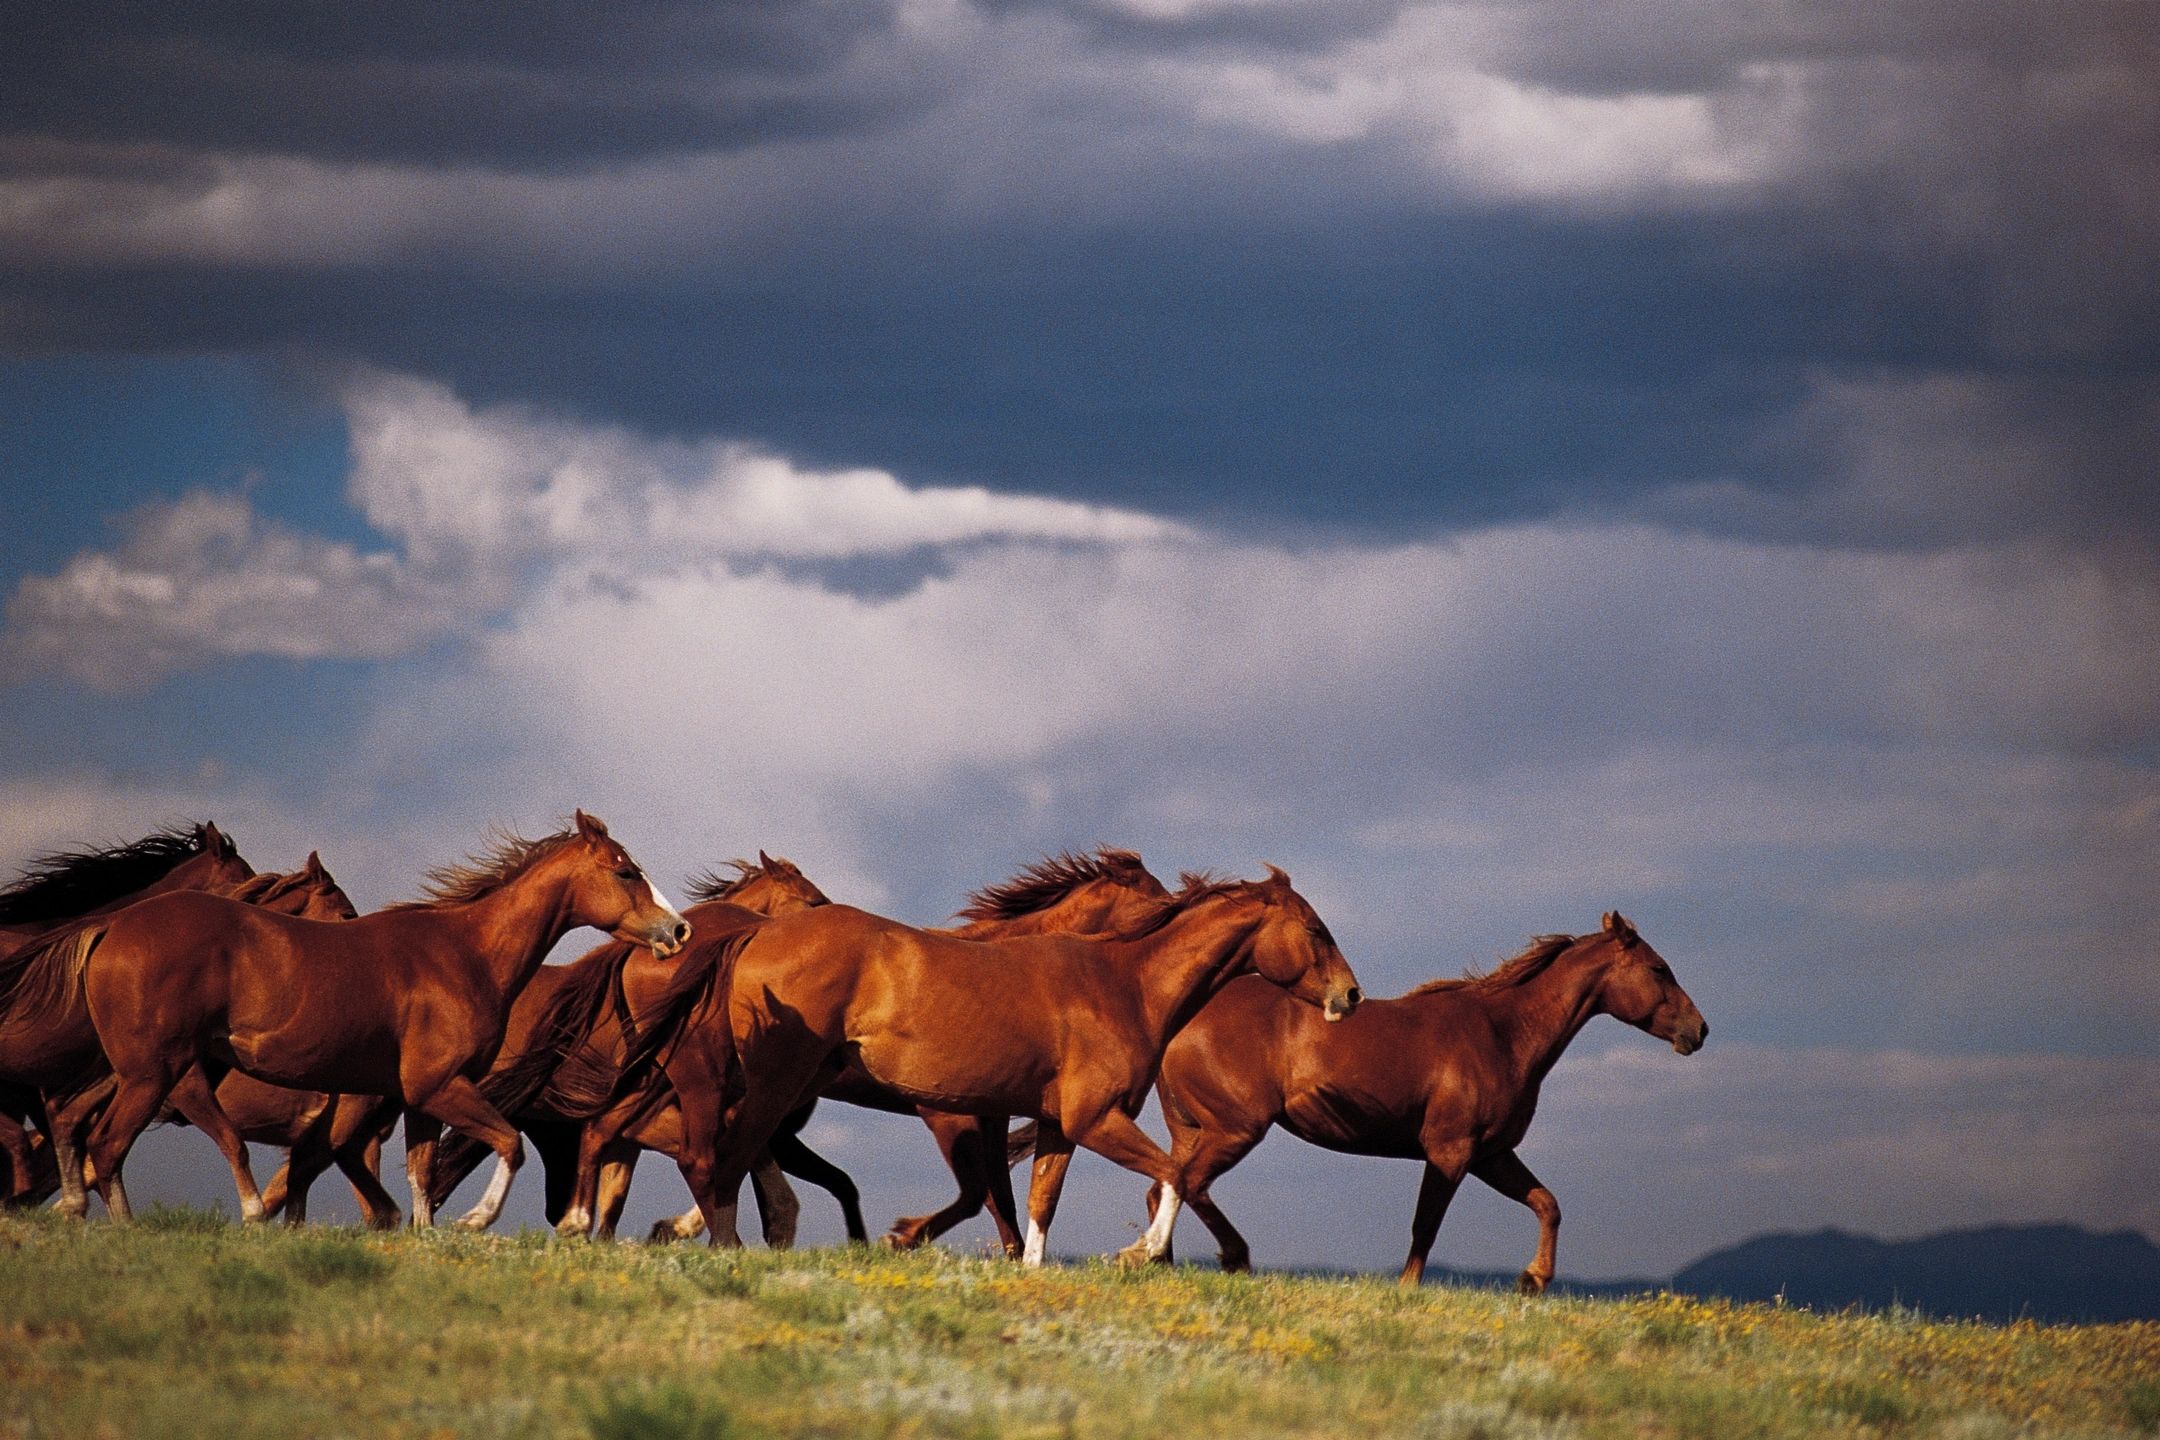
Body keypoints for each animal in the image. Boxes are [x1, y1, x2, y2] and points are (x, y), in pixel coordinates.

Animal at [56, 811, 682, 1226]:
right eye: (625, 873)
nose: (676, 931)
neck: (466, 953)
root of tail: (110, 928)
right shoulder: (437, 1086)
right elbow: (509, 1144)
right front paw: (477, 1222)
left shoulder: (417, 1100)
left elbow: (420, 1182)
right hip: (152, 1074)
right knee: (107, 1146)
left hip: (138, 1072)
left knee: (78, 1128)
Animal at [648, 867, 1356, 1260]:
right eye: (1316, 930)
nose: (1350, 995)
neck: (1122, 983)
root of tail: (755, 932)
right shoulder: (1087, 1120)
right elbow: (1175, 1175)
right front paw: (1140, 1253)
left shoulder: (1054, 1125)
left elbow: (1036, 1207)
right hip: (777, 1082)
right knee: (723, 1155)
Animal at [1149, 911, 1702, 1286]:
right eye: (1658, 969)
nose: (1699, 1031)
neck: (1503, 1034)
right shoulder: (1450, 1151)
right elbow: (1425, 1227)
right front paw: (1408, 1290)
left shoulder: (1492, 1154)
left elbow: (1547, 1204)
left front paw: (1533, 1280)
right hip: (1236, 1128)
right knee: (1190, 1184)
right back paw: (1229, 1257)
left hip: (1195, 1130)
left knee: (1165, 1186)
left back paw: (1158, 1265)